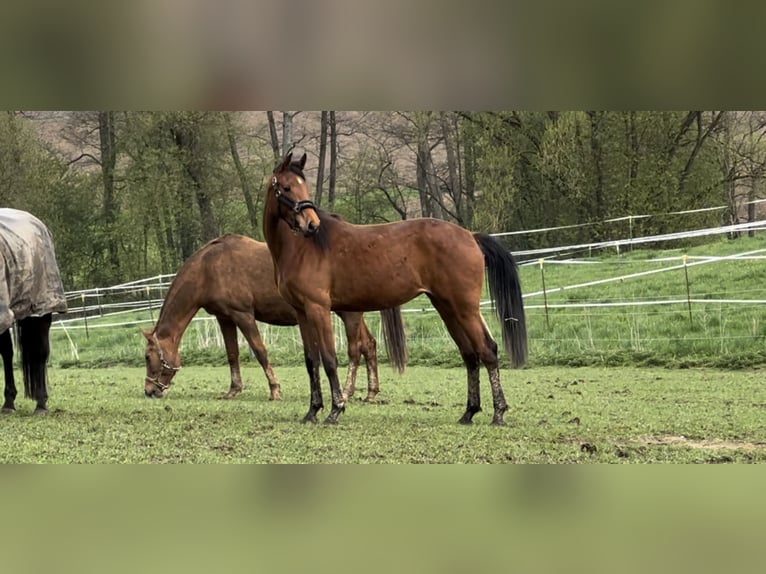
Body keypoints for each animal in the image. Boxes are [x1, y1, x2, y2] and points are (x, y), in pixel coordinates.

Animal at [142, 233, 406, 401]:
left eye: (147, 357)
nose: (149, 391)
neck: (208, 269)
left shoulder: (243, 315)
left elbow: (260, 351)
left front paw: (275, 390)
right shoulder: (224, 317)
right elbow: (232, 354)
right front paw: (233, 390)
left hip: (349, 314)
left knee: (354, 350)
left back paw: (349, 392)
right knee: (369, 345)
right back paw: (371, 393)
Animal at [263, 152, 528, 425]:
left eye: (303, 185)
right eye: (286, 187)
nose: (311, 225)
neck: (303, 248)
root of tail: (470, 236)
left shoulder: (319, 309)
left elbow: (329, 360)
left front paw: (336, 410)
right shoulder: (302, 313)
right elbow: (311, 361)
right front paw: (312, 411)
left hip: (465, 309)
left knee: (487, 350)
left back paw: (498, 413)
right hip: (448, 308)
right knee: (470, 354)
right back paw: (469, 412)